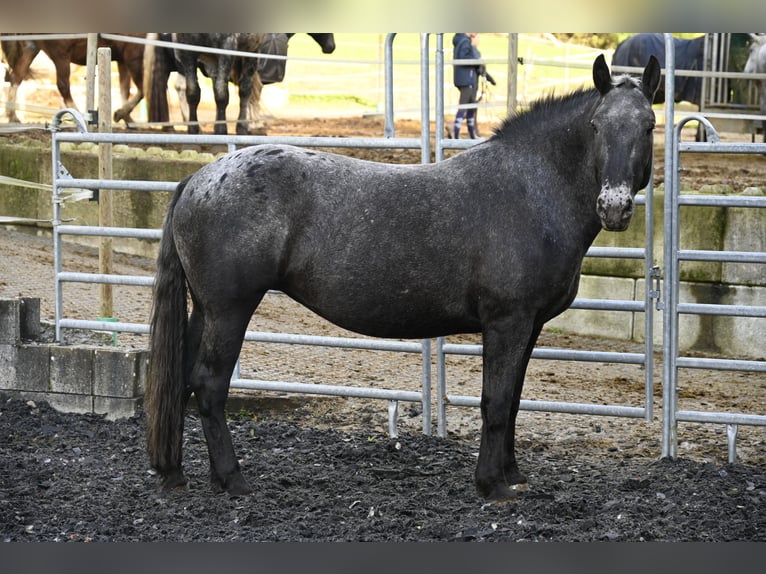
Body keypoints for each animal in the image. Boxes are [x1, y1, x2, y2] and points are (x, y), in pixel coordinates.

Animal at [1, 33, 147, 124]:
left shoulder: (122, 60)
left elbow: (125, 90)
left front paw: (125, 117)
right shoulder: (133, 56)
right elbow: (141, 90)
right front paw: (122, 114)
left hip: (32, 48)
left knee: (16, 77)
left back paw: (12, 115)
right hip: (61, 56)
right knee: (63, 85)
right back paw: (79, 115)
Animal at [144, 33, 336, 135]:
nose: (331, 46)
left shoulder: (225, 51)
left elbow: (223, 94)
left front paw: (222, 128)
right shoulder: (186, 52)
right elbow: (194, 93)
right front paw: (193, 129)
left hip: (248, 55)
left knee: (244, 91)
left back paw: (241, 126)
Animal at [147, 55, 664, 504]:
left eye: (648, 125)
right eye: (596, 126)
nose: (614, 207)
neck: (530, 190)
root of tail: (197, 180)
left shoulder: (530, 327)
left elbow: (514, 401)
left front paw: (512, 474)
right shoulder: (507, 323)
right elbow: (496, 402)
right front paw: (492, 485)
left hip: (205, 310)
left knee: (182, 381)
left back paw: (174, 473)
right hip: (229, 310)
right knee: (209, 385)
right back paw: (233, 479)